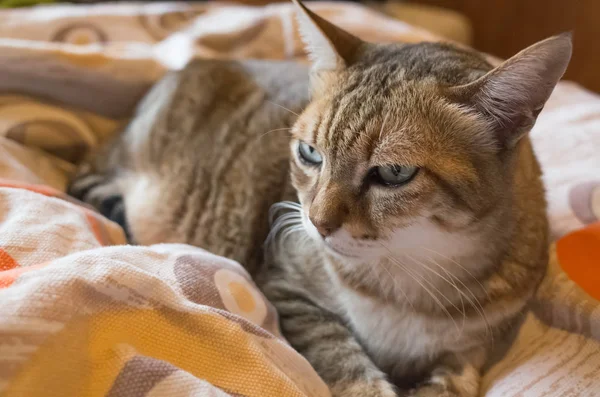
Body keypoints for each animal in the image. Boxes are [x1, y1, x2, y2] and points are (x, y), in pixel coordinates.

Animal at [68, 1, 568, 394]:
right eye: (311, 153)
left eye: (394, 173)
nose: (318, 223)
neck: (409, 279)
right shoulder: (285, 287)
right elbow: (343, 359)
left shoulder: (474, 347)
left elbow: (455, 379)